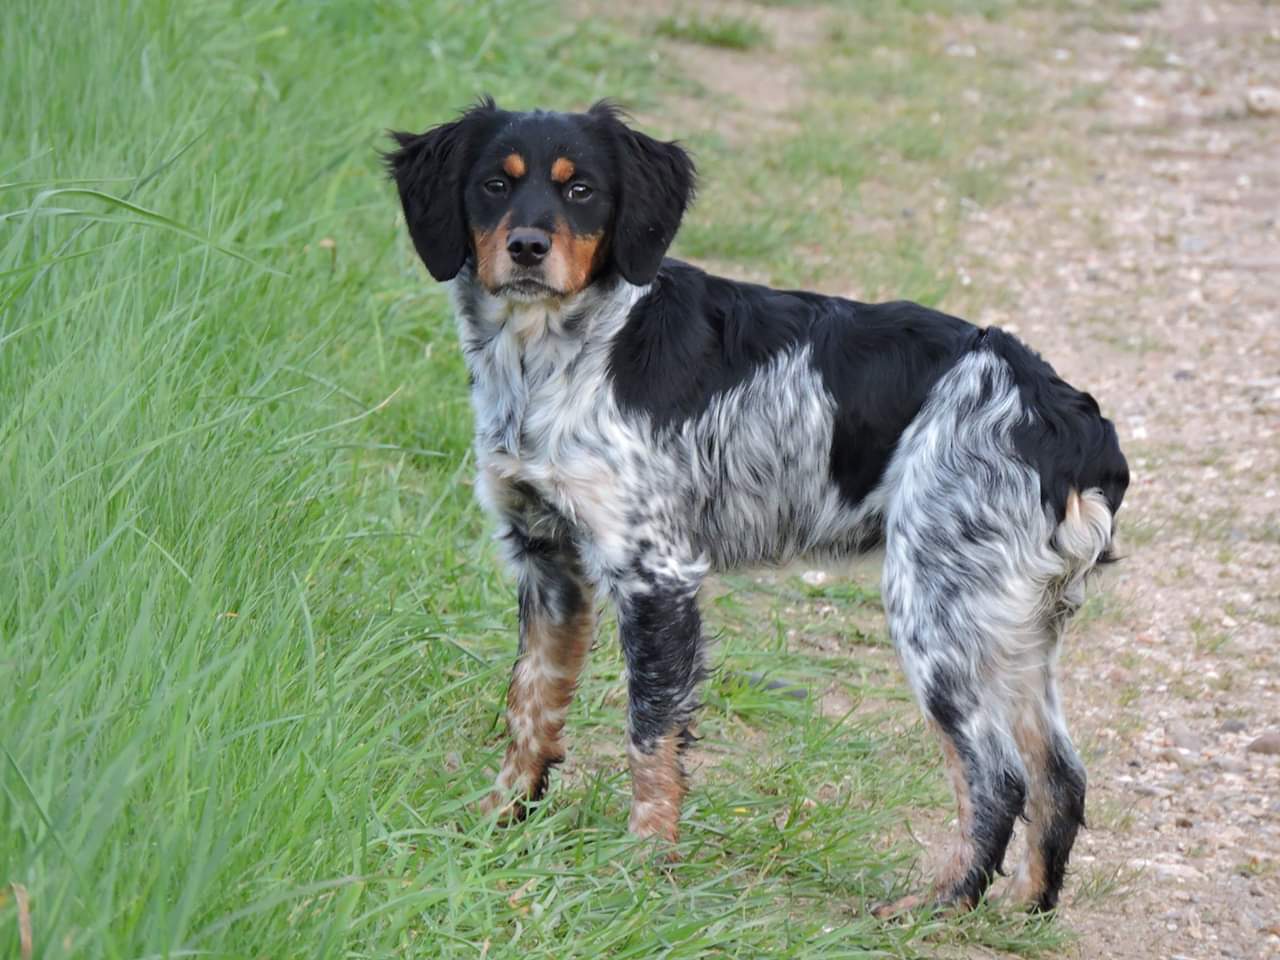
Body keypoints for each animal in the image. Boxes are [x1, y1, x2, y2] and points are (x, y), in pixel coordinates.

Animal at [384, 97, 1126, 916]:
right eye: (493, 184)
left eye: (582, 191)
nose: (526, 247)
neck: (557, 356)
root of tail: (1068, 421)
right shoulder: (547, 562)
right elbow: (530, 705)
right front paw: (498, 822)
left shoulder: (657, 574)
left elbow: (651, 733)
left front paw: (641, 864)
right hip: (1014, 627)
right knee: (1062, 774)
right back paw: (1024, 908)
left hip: (938, 607)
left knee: (997, 775)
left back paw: (932, 910)